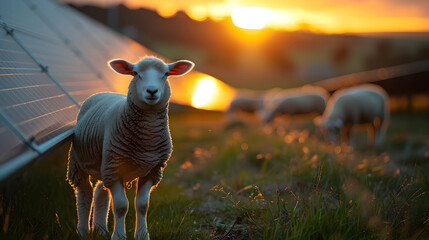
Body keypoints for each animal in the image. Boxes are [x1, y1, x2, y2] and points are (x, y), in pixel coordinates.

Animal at [67, 56, 194, 240]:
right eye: (135, 73)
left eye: (166, 74)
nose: (152, 91)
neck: (146, 141)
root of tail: (104, 92)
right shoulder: (114, 166)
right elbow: (121, 206)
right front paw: (119, 236)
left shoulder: (153, 170)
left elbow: (142, 205)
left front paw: (142, 235)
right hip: (80, 161)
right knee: (84, 193)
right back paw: (83, 231)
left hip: (104, 161)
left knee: (100, 191)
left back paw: (100, 229)